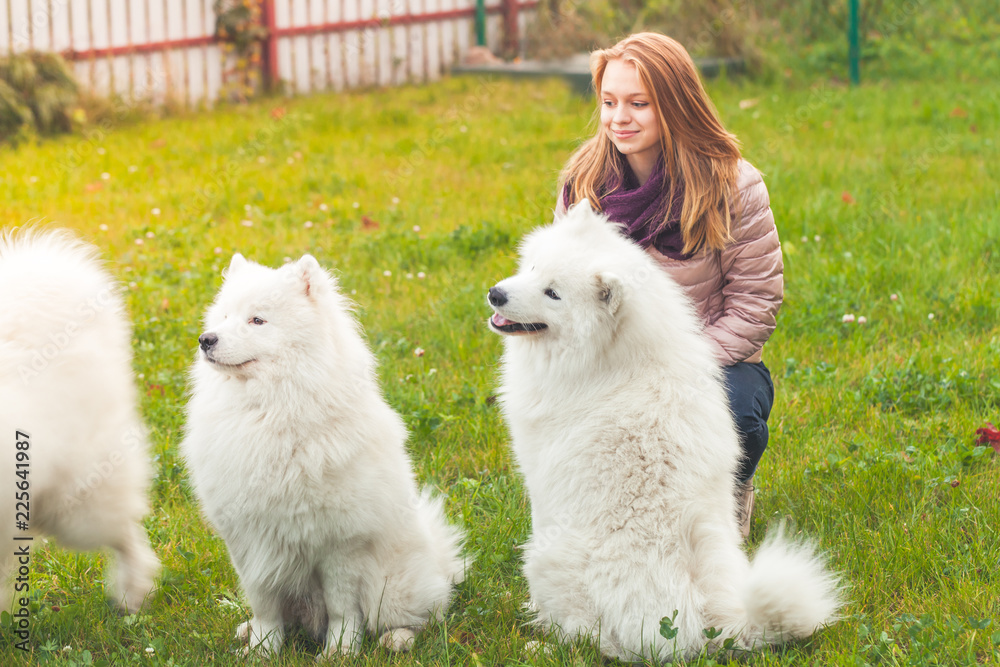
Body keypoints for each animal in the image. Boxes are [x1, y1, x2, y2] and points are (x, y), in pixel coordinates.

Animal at [183, 253, 464, 660]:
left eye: (257, 320)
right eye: (223, 317)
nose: (206, 340)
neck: (269, 412)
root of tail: (439, 561)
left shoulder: (339, 545)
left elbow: (341, 608)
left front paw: (340, 652)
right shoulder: (249, 540)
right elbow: (264, 606)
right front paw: (262, 649)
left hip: (391, 585)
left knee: (424, 614)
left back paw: (398, 638)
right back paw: (246, 631)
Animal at [488, 206, 840, 664]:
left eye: (553, 293)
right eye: (531, 268)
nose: (495, 294)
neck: (613, 361)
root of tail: (711, 626)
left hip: (547, 559)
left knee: (592, 639)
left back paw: (541, 642)